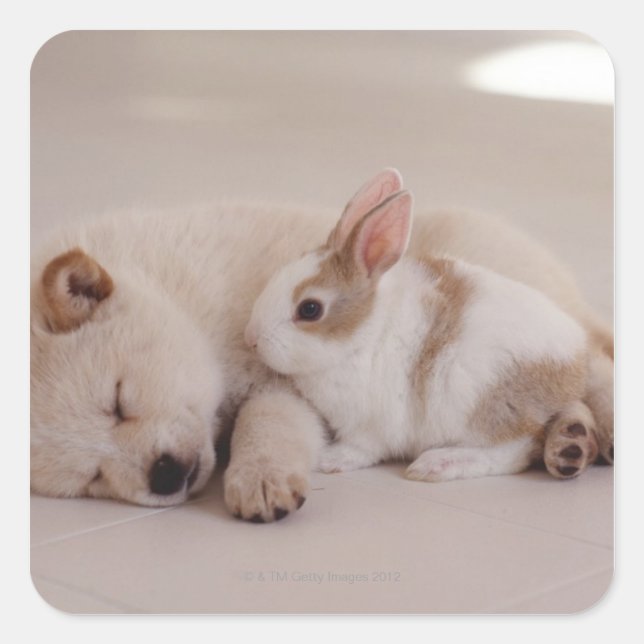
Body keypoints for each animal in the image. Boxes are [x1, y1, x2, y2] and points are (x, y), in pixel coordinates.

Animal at [245, 170, 613, 482]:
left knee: (513, 451)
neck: (362, 335)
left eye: (309, 309)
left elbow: (362, 448)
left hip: (479, 404)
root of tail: (574, 363)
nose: (252, 339)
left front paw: (329, 460)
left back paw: (437, 464)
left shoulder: (371, 426)